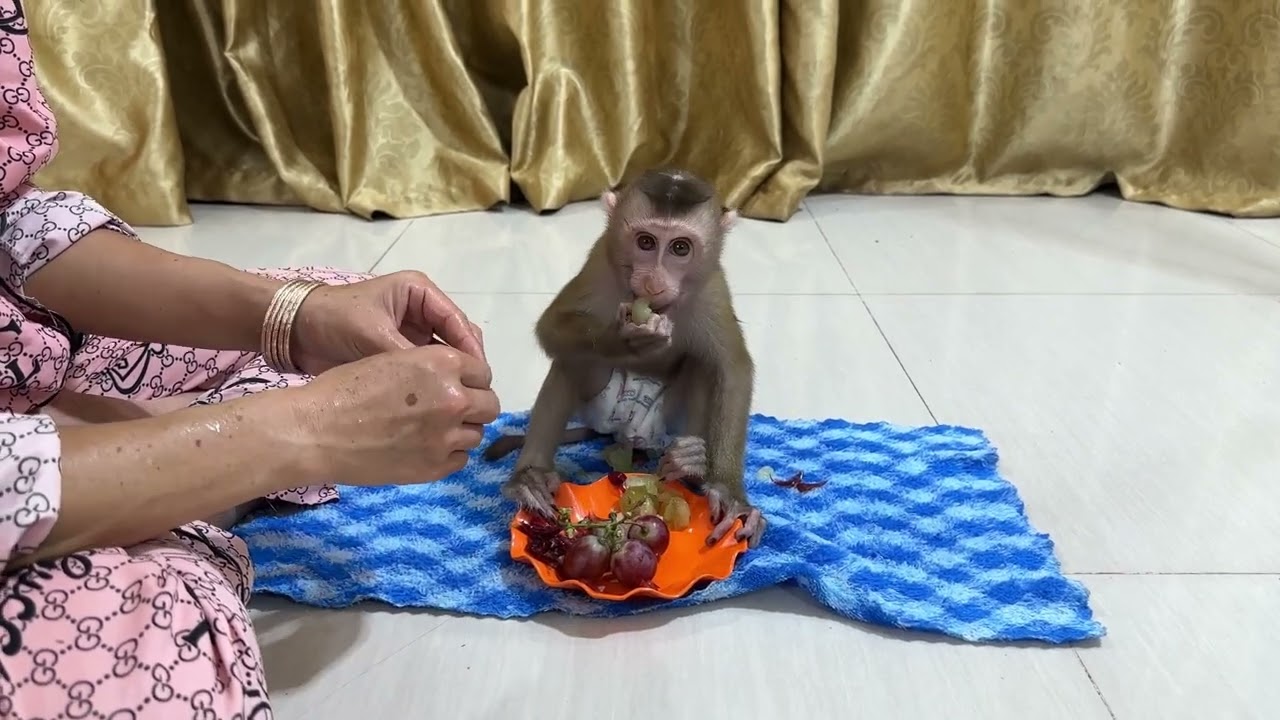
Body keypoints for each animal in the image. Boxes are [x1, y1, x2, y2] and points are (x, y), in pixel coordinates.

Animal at [496, 168, 765, 548]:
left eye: (680, 248)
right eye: (646, 242)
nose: (653, 283)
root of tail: (627, 435)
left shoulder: (713, 287)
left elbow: (733, 370)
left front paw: (728, 493)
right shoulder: (599, 262)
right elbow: (552, 327)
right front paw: (627, 340)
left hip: (664, 419)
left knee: (701, 362)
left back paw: (688, 466)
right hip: (600, 409)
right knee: (573, 358)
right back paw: (530, 478)